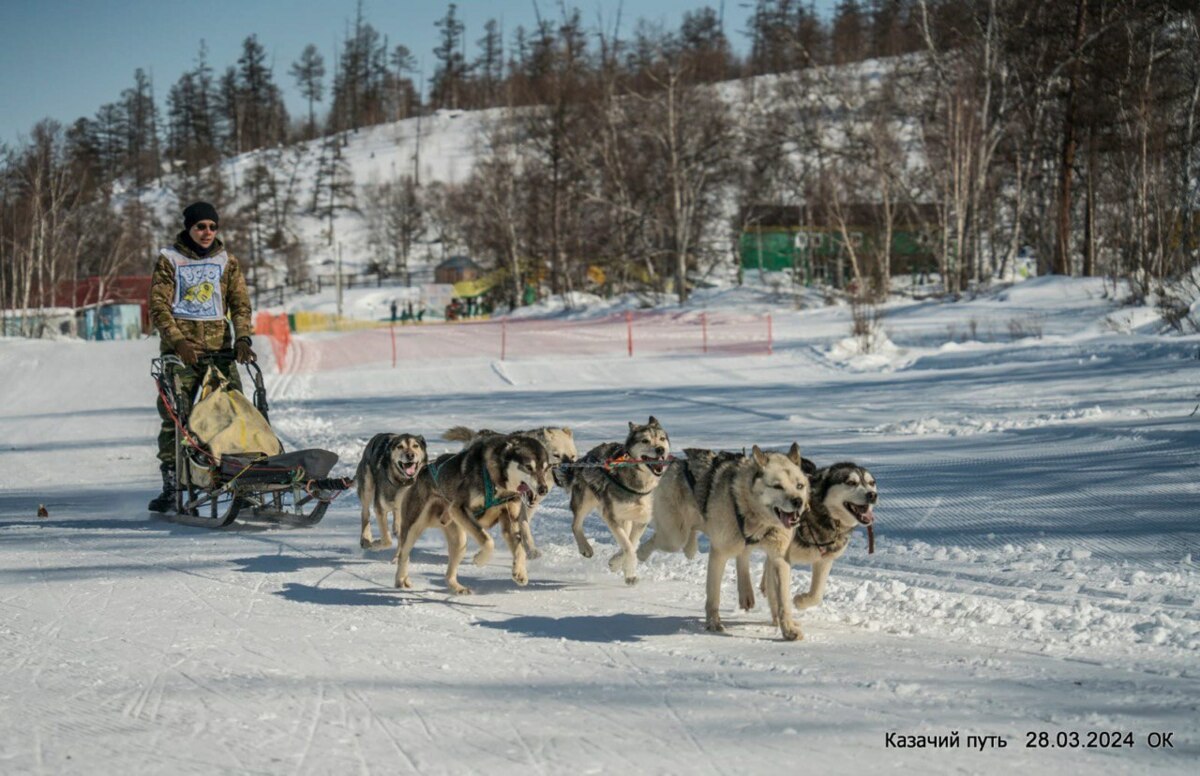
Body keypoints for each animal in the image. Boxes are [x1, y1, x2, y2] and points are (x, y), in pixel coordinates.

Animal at [393, 431, 552, 594]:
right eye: (528, 467)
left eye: (546, 468)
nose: (543, 489)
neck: (497, 483)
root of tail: (423, 470)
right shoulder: (459, 508)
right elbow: (488, 541)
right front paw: (480, 559)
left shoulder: (511, 521)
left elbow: (520, 549)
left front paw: (520, 572)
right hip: (414, 527)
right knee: (404, 554)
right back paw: (400, 580)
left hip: (459, 540)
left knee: (449, 573)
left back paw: (456, 587)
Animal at [444, 424, 578, 570]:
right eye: (556, 455)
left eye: (572, 457)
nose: (571, 473)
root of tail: (479, 434)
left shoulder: (525, 509)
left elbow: (523, 527)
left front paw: (529, 550)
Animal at [564, 419, 676, 582]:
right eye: (645, 440)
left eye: (662, 439)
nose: (660, 449)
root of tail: (587, 456)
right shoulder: (611, 516)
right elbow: (628, 546)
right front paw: (627, 571)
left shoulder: (642, 519)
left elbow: (632, 543)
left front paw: (617, 564)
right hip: (586, 500)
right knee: (575, 524)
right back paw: (585, 548)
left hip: (626, 516)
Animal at [638, 446, 816, 642]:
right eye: (777, 486)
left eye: (799, 486)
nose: (798, 501)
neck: (754, 515)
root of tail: (677, 462)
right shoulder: (719, 553)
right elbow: (713, 596)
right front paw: (713, 623)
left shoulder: (779, 558)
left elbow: (783, 600)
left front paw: (788, 629)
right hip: (674, 537)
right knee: (657, 540)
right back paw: (636, 555)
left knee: (742, 555)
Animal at [753, 460, 878, 623]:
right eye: (851, 482)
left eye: (871, 483)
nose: (872, 495)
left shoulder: (824, 560)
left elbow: (817, 595)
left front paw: (800, 600)